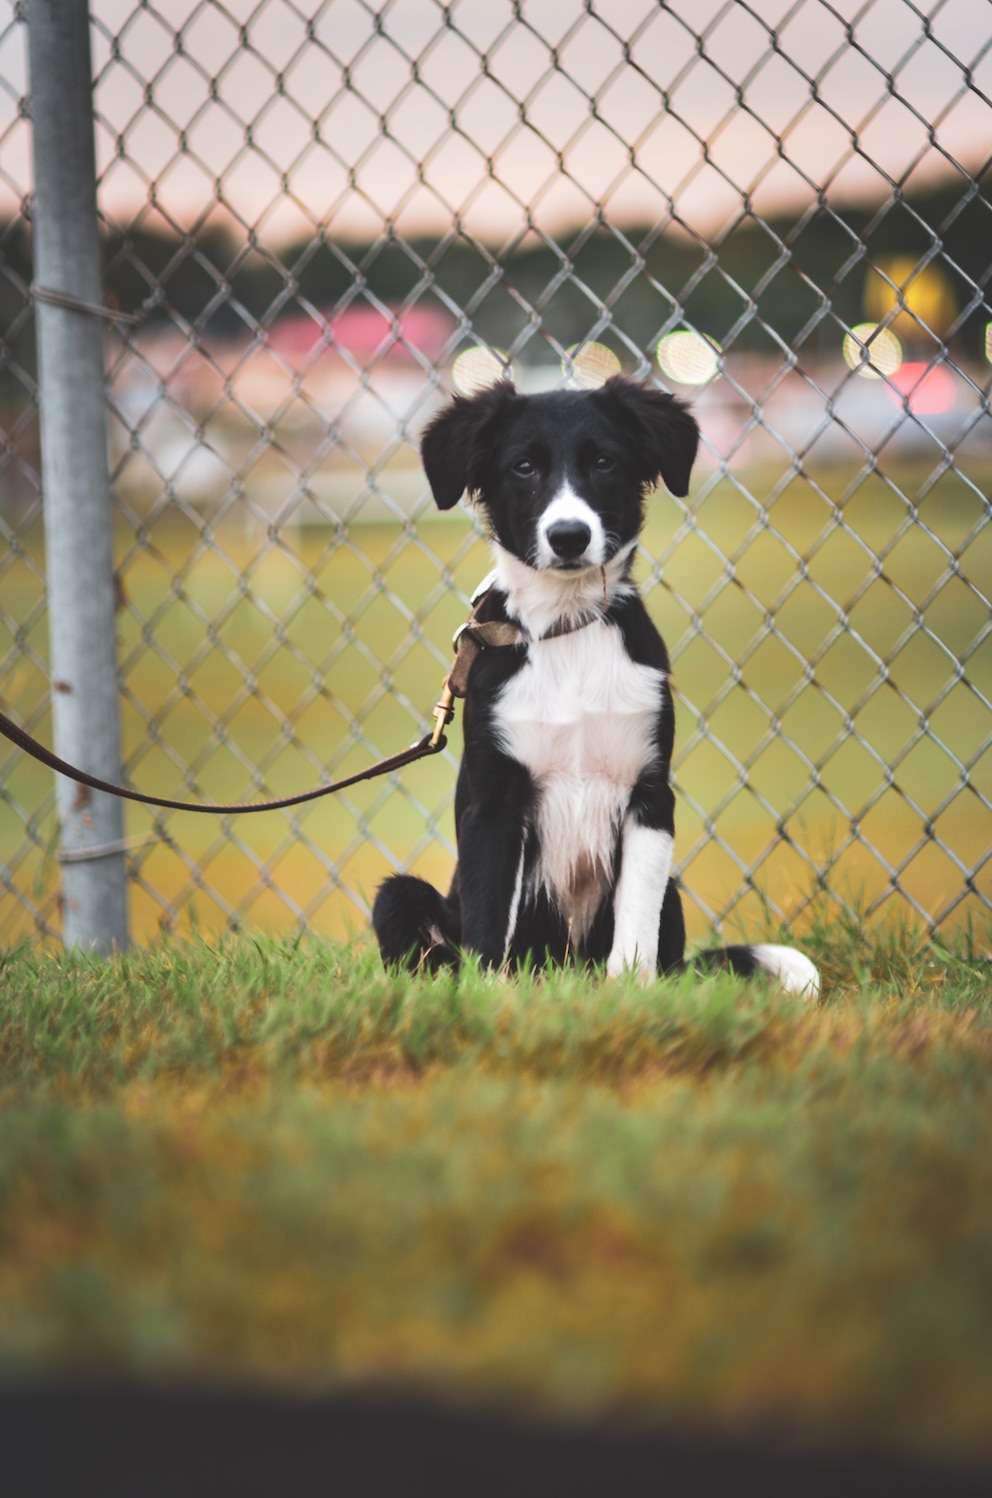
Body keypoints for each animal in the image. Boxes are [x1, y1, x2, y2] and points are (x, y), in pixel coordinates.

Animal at [368, 374, 821, 994]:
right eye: (523, 467)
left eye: (605, 461)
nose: (568, 536)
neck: (567, 626)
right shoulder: (493, 801)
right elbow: (487, 920)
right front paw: (491, 996)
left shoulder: (650, 796)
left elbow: (636, 922)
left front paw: (629, 992)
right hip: (400, 896)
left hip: (673, 895)